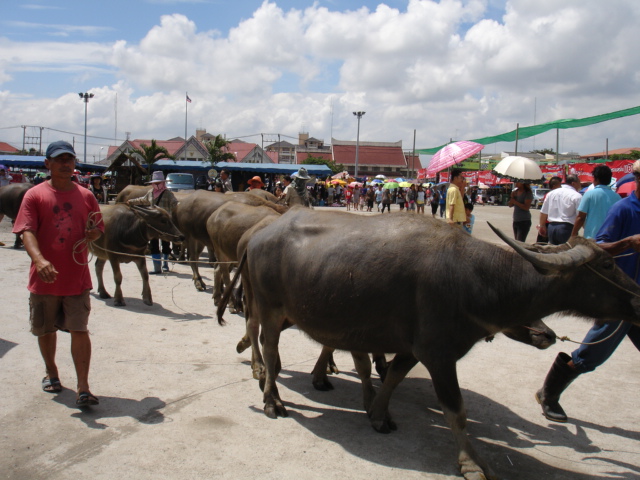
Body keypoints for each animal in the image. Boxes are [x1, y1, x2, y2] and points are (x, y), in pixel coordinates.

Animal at [222, 208, 640, 480]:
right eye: (606, 266)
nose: (637, 298)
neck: (474, 277)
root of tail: (257, 236)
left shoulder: (411, 348)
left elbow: (392, 378)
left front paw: (378, 414)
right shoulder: (440, 355)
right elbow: (456, 411)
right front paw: (472, 463)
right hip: (270, 309)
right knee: (269, 350)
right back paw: (272, 400)